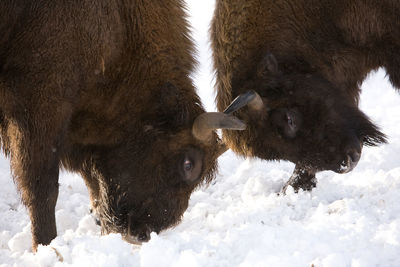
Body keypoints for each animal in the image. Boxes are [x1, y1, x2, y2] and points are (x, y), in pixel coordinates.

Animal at [0, 0, 247, 251]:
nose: (142, 234)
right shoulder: (38, 105)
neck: (121, 21)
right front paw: (46, 245)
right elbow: (43, 188)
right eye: (189, 164)